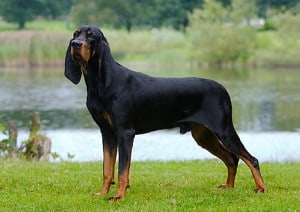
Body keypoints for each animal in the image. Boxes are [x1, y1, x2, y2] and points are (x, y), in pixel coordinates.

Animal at [65, 25, 268, 201]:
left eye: (91, 35)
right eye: (76, 34)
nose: (75, 44)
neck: (99, 83)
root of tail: (223, 88)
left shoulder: (125, 133)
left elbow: (123, 170)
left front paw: (119, 196)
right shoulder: (107, 133)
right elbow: (107, 169)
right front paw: (102, 193)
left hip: (223, 130)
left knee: (251, 159)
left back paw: (261, 188)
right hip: (203, 135)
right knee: (232, 158)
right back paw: (229, 187)